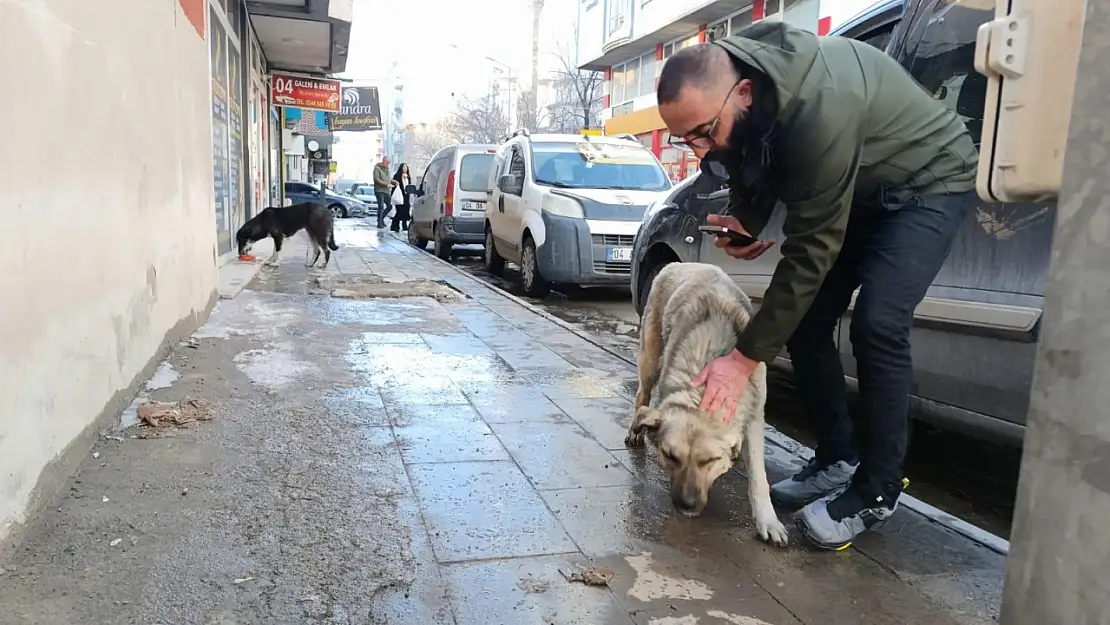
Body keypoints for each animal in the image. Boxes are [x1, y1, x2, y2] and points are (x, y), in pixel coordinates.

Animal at [626, 261, 790, 546]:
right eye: (670, 456)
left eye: (710, 460)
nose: (686, 505)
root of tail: (684, 263)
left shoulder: (755, 418)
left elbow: (759, 478)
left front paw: (767, 521)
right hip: (650, 358)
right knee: (641, 395)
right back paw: (635, 430)